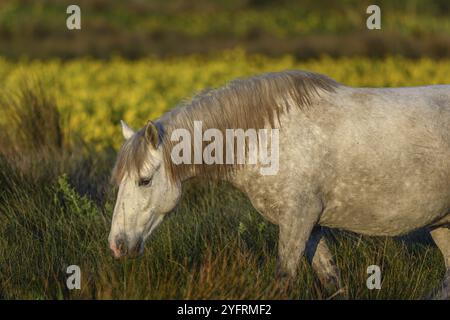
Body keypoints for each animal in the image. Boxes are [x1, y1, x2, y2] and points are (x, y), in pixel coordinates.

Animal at [108, 71, 450, 298]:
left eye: (144, 180)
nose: (117, 244)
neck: (265, 138)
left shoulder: (298, 220)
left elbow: (283, 280)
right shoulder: (311, 225)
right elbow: (331, 280)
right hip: (441, 224)